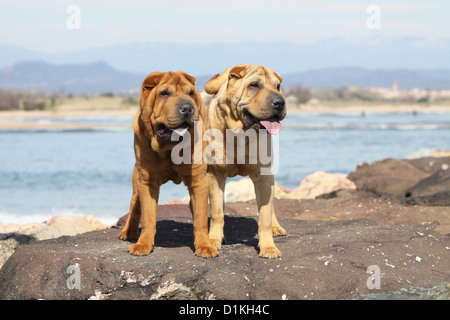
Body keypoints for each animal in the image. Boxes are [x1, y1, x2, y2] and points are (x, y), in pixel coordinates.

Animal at [119, 70, 218, 258]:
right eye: (164, 93)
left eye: (190, 93)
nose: (187, 108)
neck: (169, 148)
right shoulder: (147, 182)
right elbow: (148, 217)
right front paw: (143, 244)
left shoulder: (199, 181)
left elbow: (200, 218)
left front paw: (205, 245)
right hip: (137, 183)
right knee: (134, 206)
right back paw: (128, 232)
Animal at [205, 64, 288, 258]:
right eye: (254, 85)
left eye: (278, 86)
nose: (280, 102)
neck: (240, 134)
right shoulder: (215, 175)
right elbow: (217, 211)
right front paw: (213, 239)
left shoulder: (264, 177)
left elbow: (265, 215)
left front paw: (268, 247)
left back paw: (276, 227)